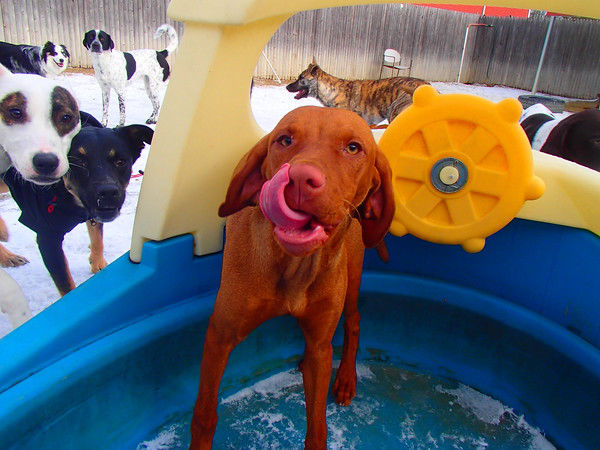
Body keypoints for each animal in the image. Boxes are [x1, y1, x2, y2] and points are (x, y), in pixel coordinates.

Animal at [2, 112, 152, 296]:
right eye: (78, 162)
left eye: (120, 161)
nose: (108, 192)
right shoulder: (48, 237)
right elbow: (66, 283)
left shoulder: (93, 214)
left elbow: (97, 238)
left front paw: (98, 265)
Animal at [192, 105, 396, 446]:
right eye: (285, 140)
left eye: (353, 147)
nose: (299, 179)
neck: (294, 268)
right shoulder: (220, 336)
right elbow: (205, 415)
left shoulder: (321, 344)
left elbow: (317, 426)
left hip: (352, 276)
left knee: (353, 321)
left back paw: (346, 379)